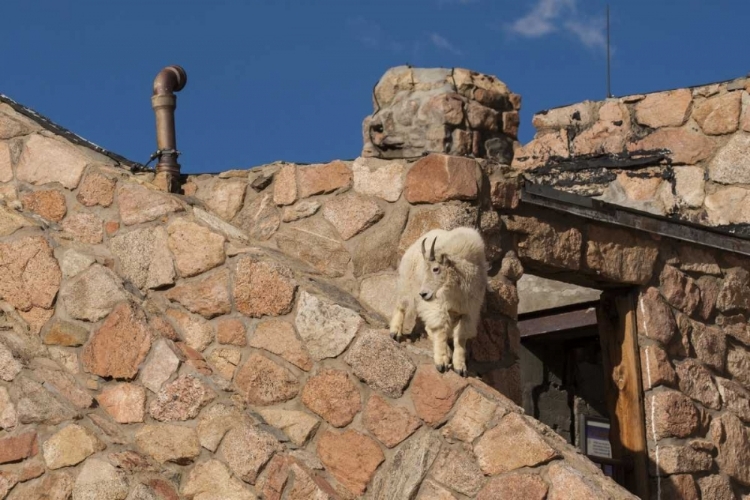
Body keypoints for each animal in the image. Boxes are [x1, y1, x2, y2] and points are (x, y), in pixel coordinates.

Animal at [390, 227, 490, 376]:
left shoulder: (469, 311)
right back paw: (395, 332)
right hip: (407, 282)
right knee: (402, 305)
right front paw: (441, 362)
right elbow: (440, 330)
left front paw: (460, 367)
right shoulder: (438, 305)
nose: (423, 294)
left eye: (436, 269)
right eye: (425, 270)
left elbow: (460, 337)